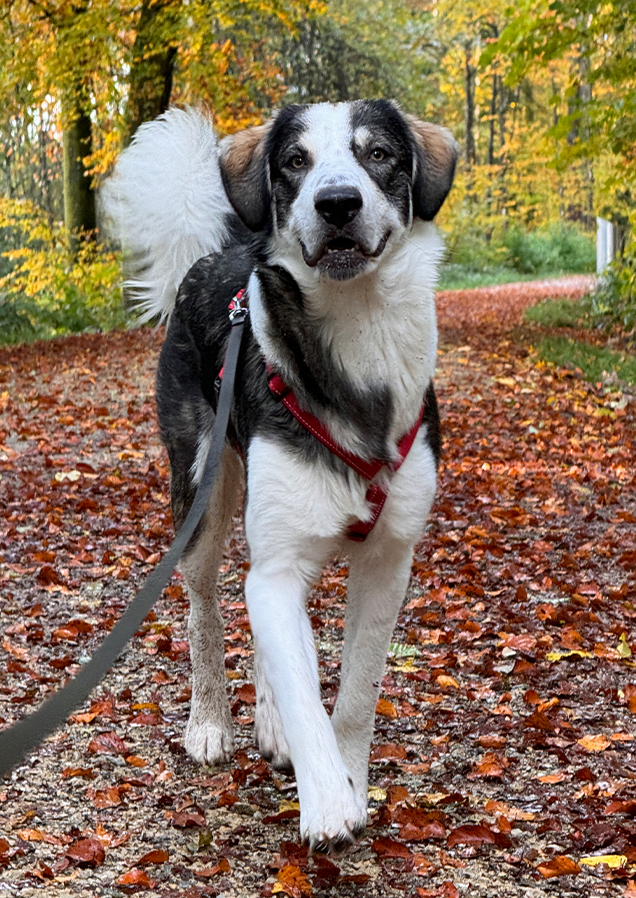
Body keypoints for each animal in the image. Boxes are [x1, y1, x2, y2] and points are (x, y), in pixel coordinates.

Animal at [102, 101, 454, 852]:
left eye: (379, 154)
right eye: (295, 161)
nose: (338, 202)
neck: (356, 346)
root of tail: (212, 258)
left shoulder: (387, 561)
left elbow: (354, 694)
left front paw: (347, 777)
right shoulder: (280, 560)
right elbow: (301, 688)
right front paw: (325, 801)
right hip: (202, 494)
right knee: (209, 607)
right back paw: (211, 723)